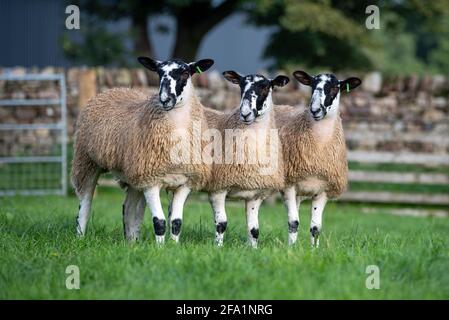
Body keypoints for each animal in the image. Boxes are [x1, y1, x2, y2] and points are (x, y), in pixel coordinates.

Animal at [71, 56, 214, 244]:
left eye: (185, 73)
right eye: (158, 73)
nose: (165, 99)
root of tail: (113, 90)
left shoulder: (185, 182)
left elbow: (176, 222)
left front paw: (174, 247)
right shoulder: (150, 180)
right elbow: (159, 222)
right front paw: (160, 248)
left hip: (134, 174)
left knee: (129, 208)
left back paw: (132, 243)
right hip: (87, 161)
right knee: (85, 204)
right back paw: (80, 236)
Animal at [274, 70, 362, 246]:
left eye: (335, 87)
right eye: (312, 85)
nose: (315, 110)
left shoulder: (323, 190)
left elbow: (315, 228)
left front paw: (313, 249)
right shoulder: (288, 185)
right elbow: (293, 222)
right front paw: (290, 249)